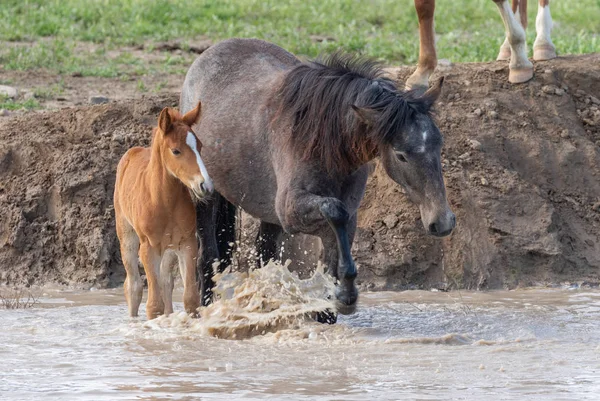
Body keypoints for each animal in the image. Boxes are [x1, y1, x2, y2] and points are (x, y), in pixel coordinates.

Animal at [115, 102, 213, 318]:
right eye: (176, 151)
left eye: (200, 146)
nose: (205, 186)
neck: (163, 202)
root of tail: (132, 152)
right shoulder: (148, 246)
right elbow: (154, 305)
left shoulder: (187, 243)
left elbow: (190, 299)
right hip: (127, 235)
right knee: (133, 286)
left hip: (169, 248)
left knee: (166, 282)